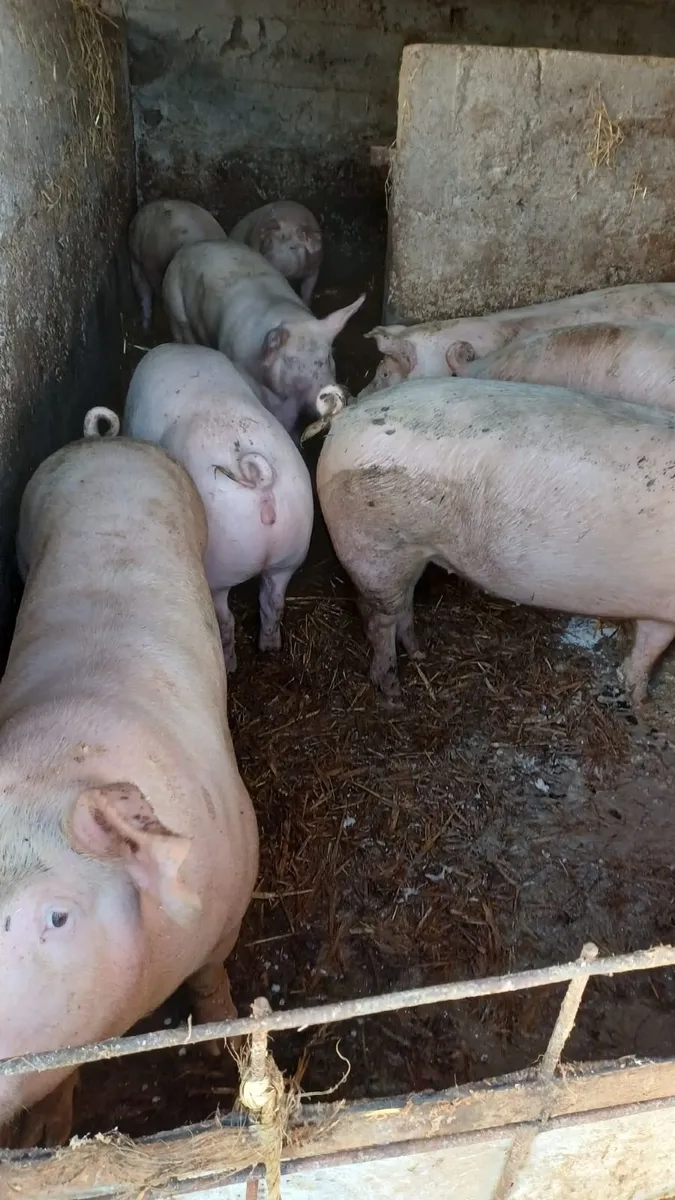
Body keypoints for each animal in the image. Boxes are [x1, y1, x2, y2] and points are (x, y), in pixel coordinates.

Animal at [0, 436, 258, 1146]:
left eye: (58, 917)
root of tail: (109, 442)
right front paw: (46, 1138)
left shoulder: (232, 893)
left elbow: (211, 981)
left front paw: (221, 1045)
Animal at [119, 343, 322, 672]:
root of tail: (260, 481)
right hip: (290, 551)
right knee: (273, 603)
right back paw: (269, 647)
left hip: (218, 566)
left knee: (225, 621)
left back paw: (230, 665)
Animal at [315, 376, 675, 702]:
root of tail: (347, 413)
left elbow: (647, 646)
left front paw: (638, 698)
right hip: (374, 548)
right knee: (378, 618)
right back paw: (393, 694)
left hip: (407, 555)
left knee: (401, 605)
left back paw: (419, 653)